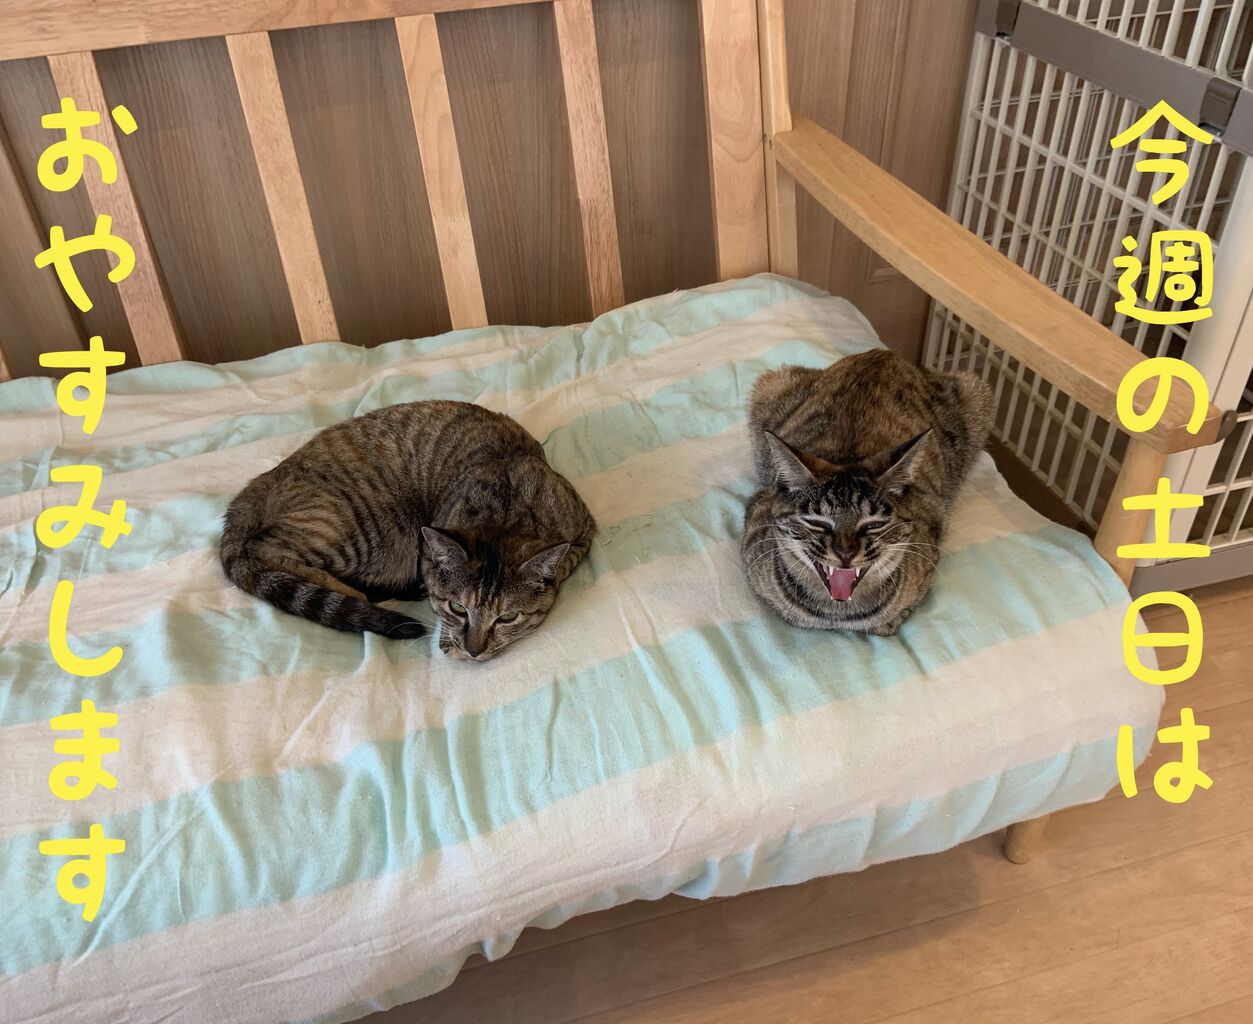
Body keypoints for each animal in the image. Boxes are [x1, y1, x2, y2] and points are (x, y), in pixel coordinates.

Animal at [220, 400, 595, 660]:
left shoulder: (583, 530)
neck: (506, 508)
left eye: (508, 617)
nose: (472, 650)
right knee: (265, 549)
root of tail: (264, 480)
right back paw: (359, 592)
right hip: (356, 524)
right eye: (458, 608)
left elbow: (563, 563)